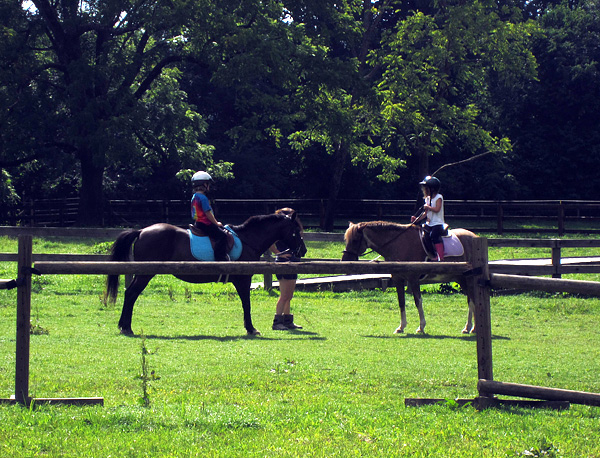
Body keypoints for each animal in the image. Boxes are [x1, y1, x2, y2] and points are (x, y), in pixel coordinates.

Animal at [103, 212, 308, 336]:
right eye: (296, 231)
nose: (303, 250)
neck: (247, 239)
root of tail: (142, 231)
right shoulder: (243, 279)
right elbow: (246, 304)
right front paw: (251, 328)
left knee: (129, 293)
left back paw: (124, 326)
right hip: (146, 273)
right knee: (131, 293)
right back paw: (127, 327)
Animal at [342, 221, 478, 332]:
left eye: (355, 240)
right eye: (345, 240)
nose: (345, 260)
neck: (398, 244)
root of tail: (475, 237)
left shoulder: (413, 279)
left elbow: (418, 301)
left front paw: (421, 326)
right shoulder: (398, 279)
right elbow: (401, 301)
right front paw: (401, 327)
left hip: (467, 278)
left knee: (472, 299)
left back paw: (471, 327)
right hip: (461, 278)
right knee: (471, 299)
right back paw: (470, 328)